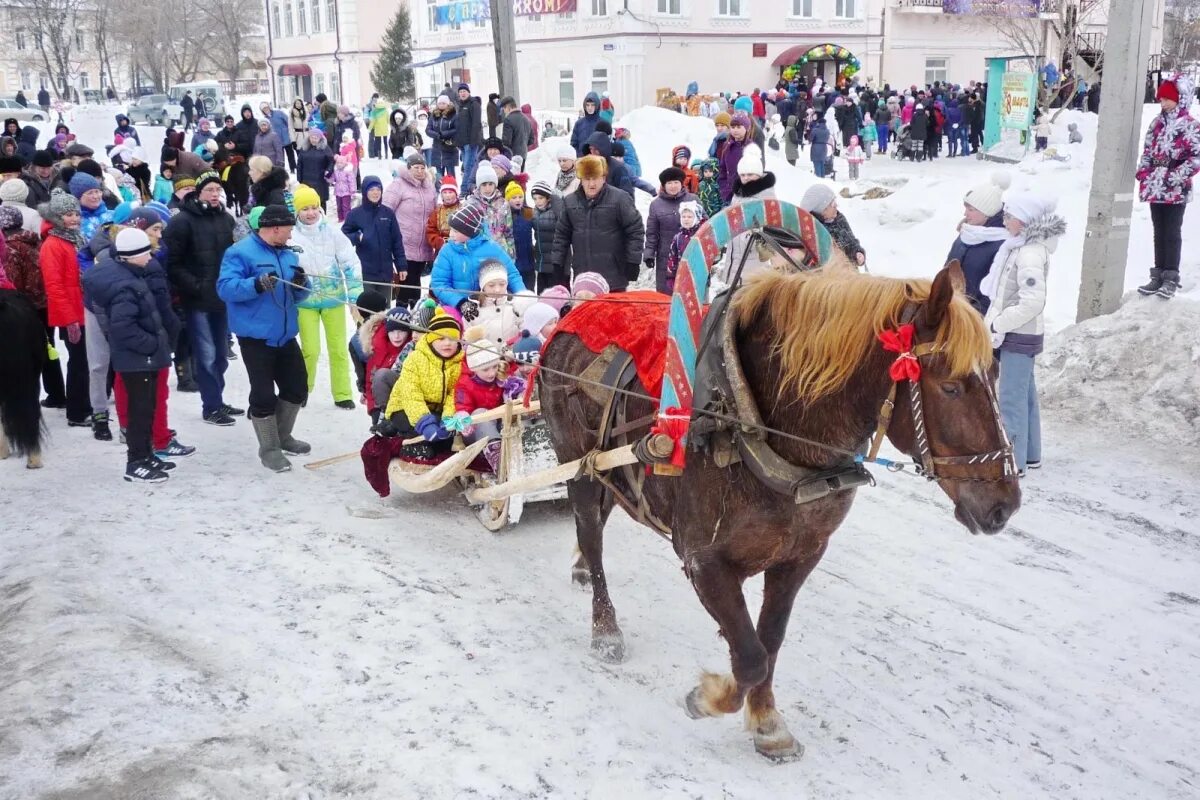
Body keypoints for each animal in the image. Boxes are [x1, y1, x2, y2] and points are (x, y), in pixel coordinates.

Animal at [542, 266, 1022, 762]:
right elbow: (750, 656)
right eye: (950, 386)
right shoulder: (703, 559)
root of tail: (577, 312)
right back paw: (605, 627)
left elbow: (767, 641)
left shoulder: (800, 556)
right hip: (576, 461)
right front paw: (710, 698)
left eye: (995, 374)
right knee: (591, 529)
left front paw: (766, 720)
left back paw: (581, 567)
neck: (751, 422)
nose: (1003, 504)